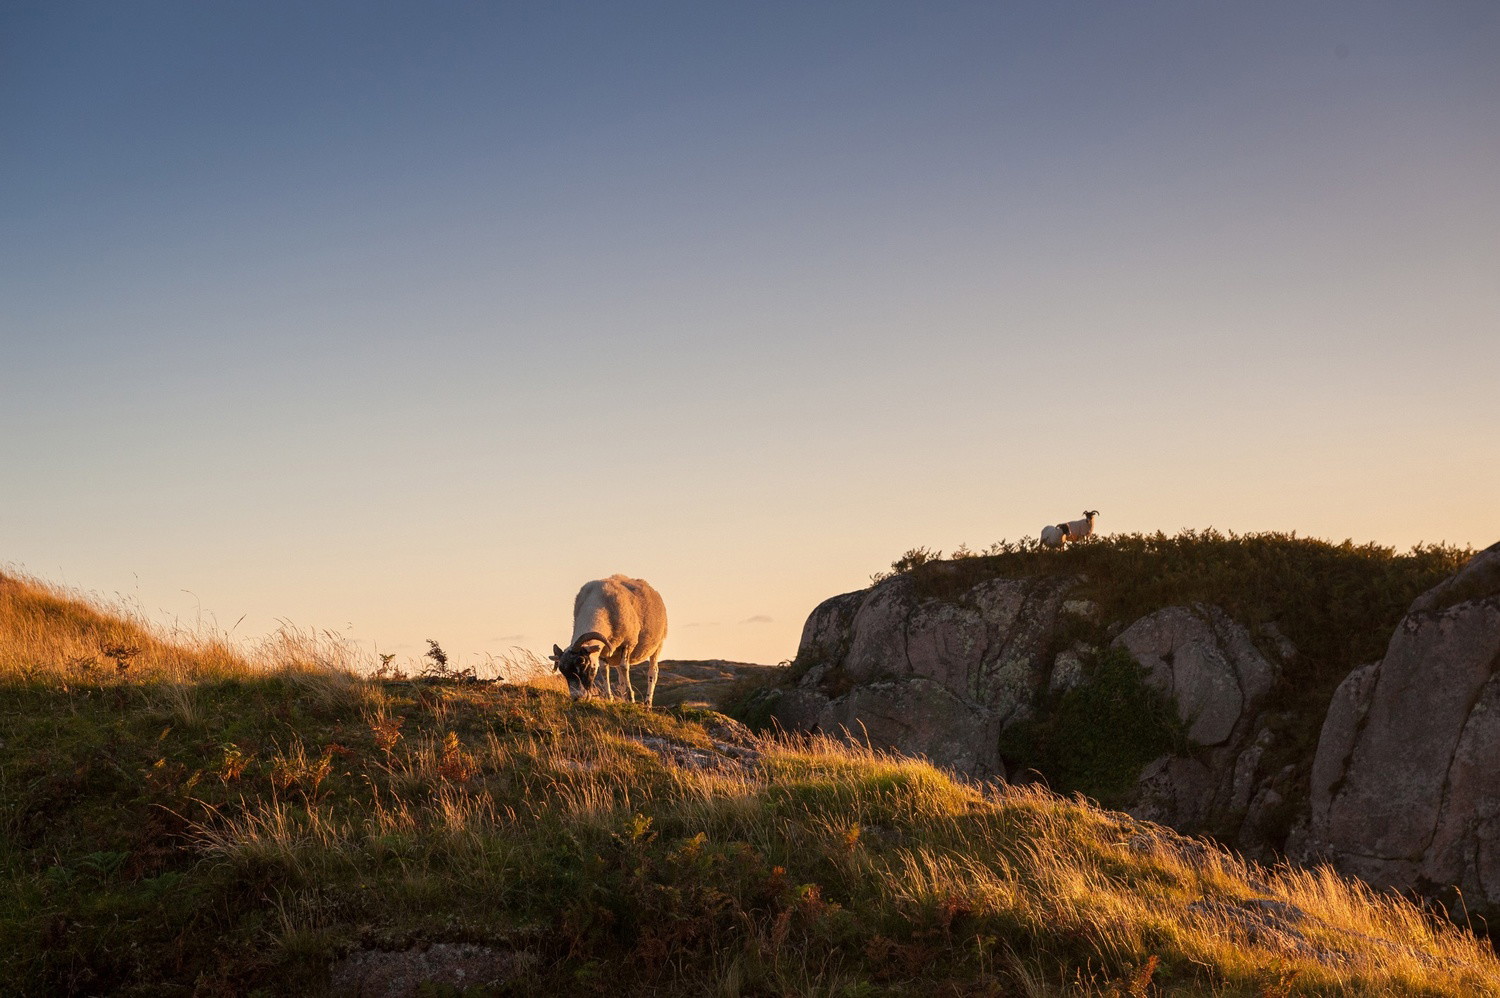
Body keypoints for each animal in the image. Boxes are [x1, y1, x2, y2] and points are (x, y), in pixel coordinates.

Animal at [549, 575, 668, 707]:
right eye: (562, 671)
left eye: (582, 662)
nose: (577, 698)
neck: (597, 602)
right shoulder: (603, 650)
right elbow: (604, 670)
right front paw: (609, 698)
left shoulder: (628, 643)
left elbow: (624, 667)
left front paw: (631, 698)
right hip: (616, 654)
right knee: (621, 678)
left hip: (658, 645)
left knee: (653, 672)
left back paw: (647, 704)